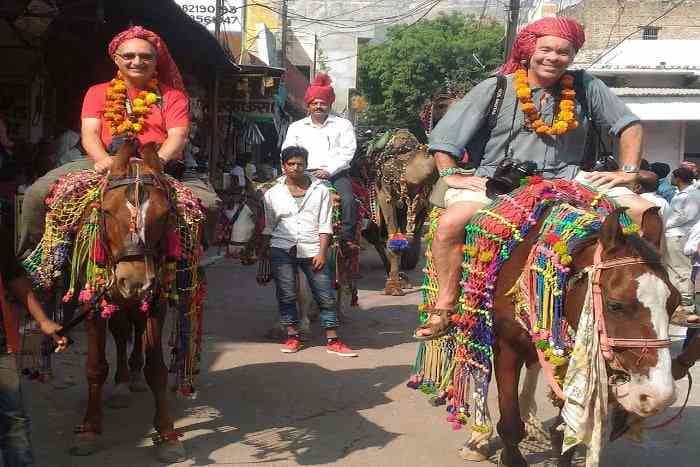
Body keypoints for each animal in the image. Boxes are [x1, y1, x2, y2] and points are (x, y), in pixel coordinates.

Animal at [72, 142, 186, 464]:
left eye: (164, 213)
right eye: (107, 211)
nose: (134, 282)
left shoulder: (155, 301)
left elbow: (157, 370)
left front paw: (167, 434)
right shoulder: (93, 304)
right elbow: (95, 367)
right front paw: (89, 430)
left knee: (133, 329)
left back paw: (132, 375)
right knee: (122, 332)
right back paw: (123, 382)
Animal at [460, 208, 680, 467]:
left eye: (675, 303)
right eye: (615, 305)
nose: (658, 396)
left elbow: (566, 434)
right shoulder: (507, 343)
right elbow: (511, 423)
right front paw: (509, 456)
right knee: (479, 370)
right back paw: (479, 439)